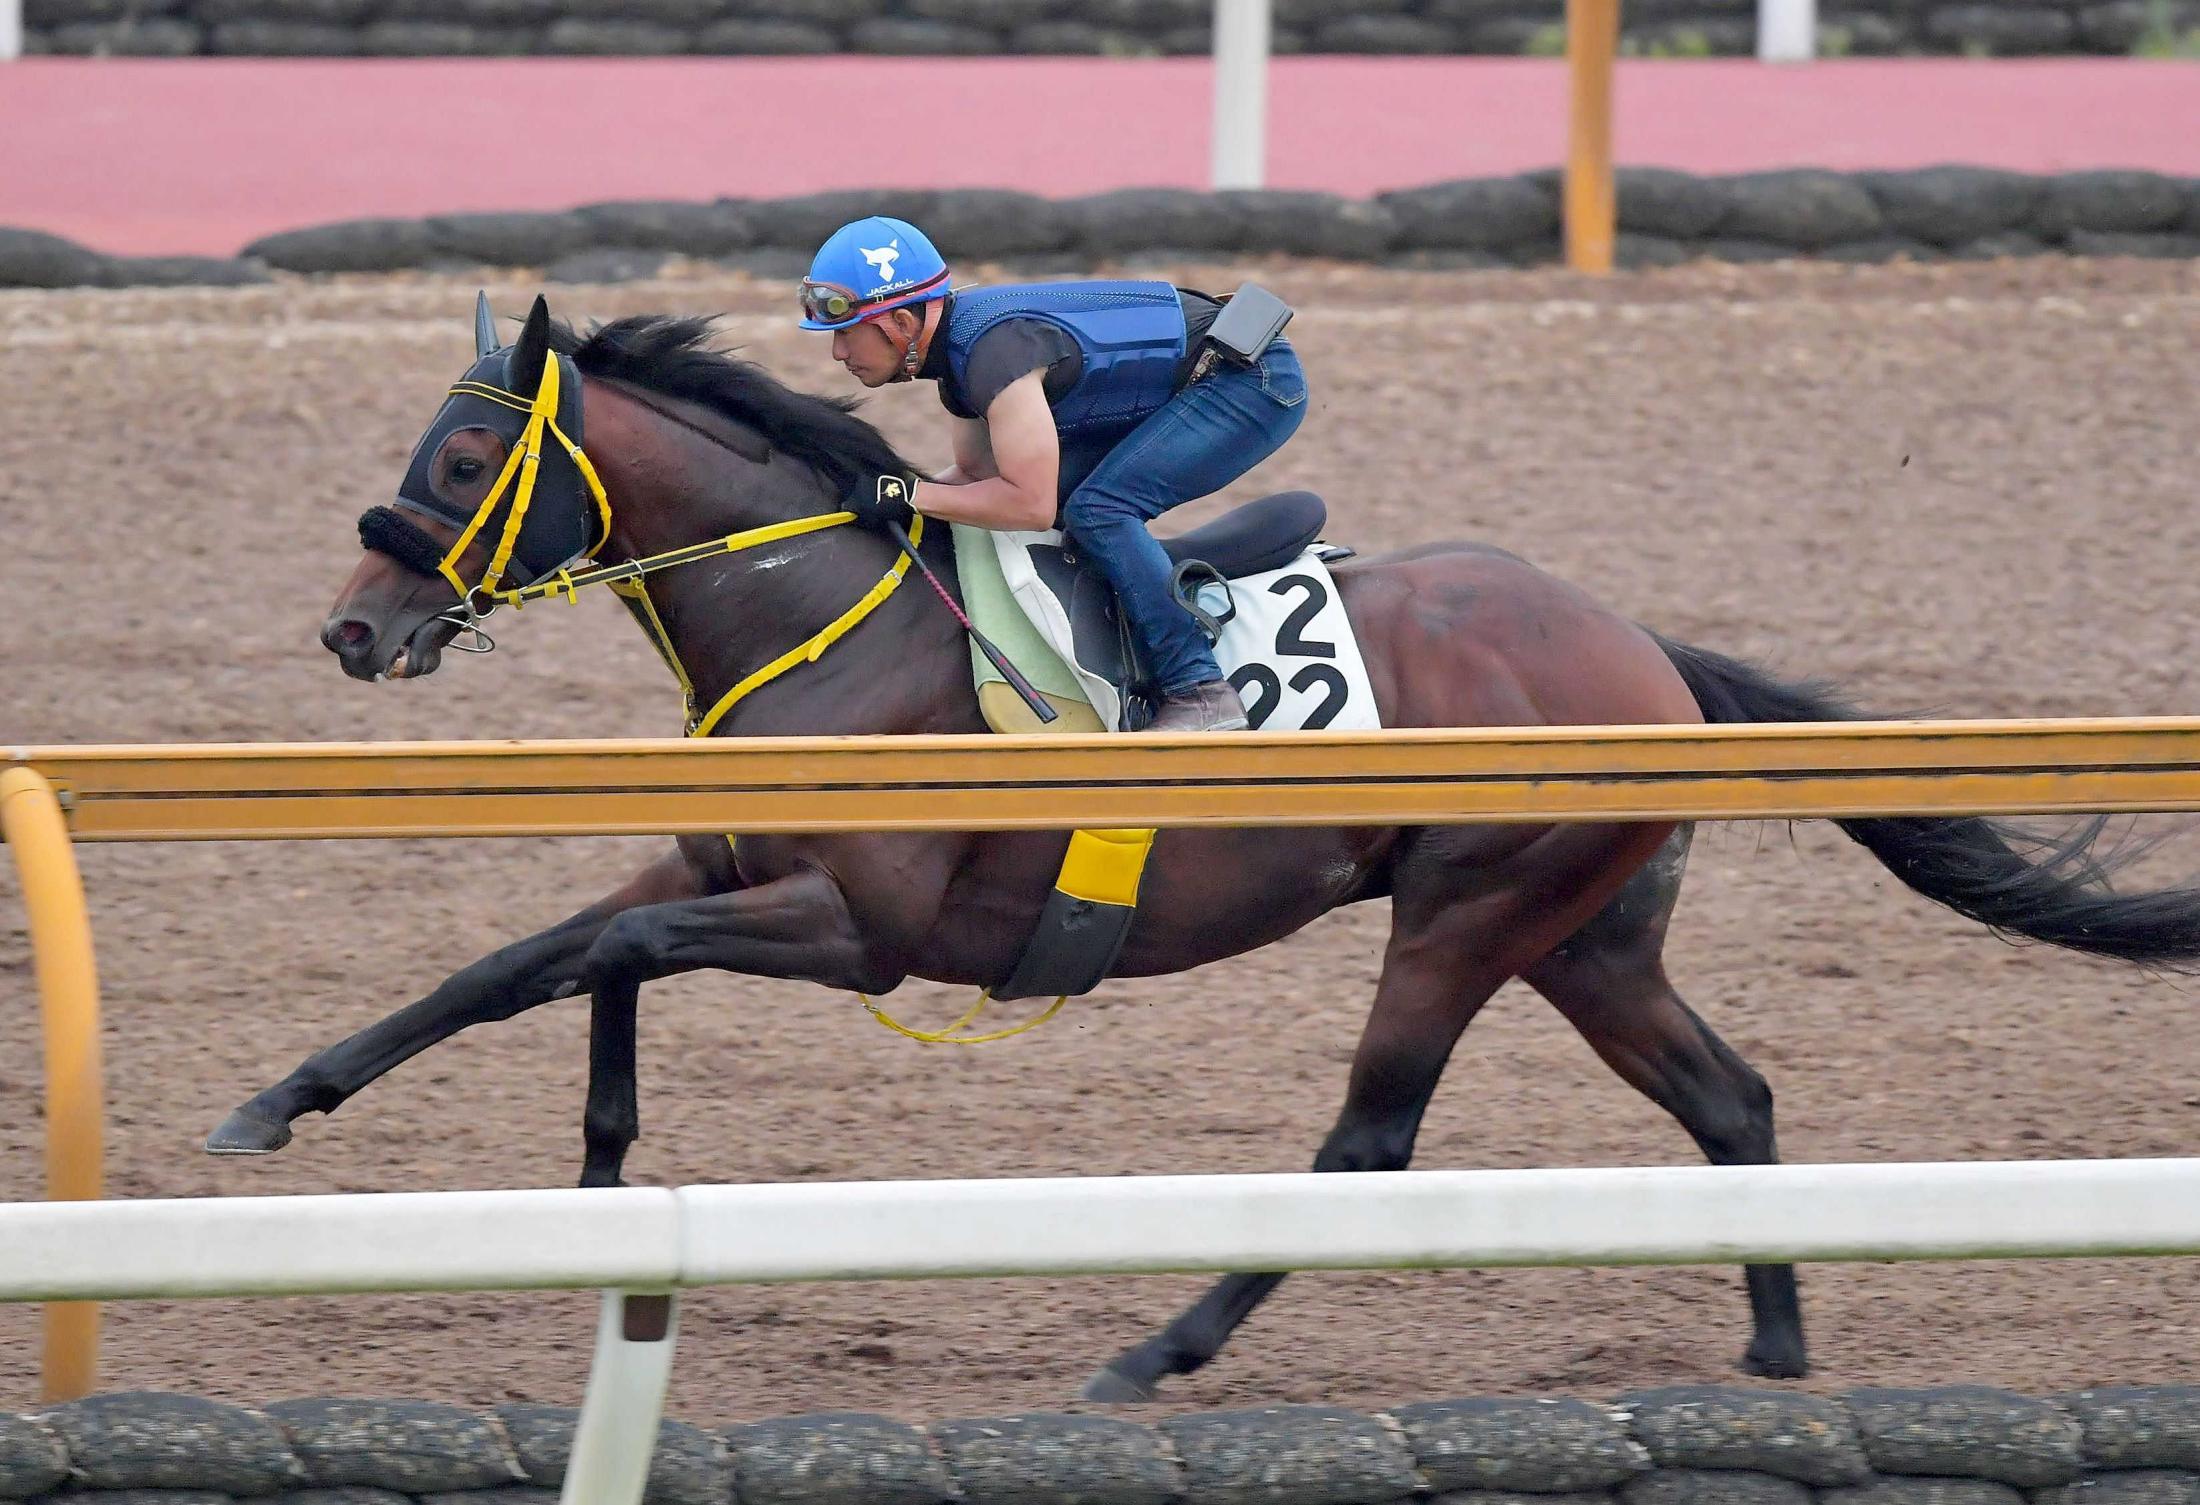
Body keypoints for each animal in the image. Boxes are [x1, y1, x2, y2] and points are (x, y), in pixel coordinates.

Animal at [214, 290, 2200, 1399]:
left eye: (460, 462)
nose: (352, 630)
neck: (828, 617)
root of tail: (1642, 646)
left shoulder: (864, 931)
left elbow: (604, 957)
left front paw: (606, 1166)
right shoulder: (720, 869)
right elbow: (524, 961)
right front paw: (301, 1110)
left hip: (1468, 917)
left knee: (1368, 1143)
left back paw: (1156, 1349)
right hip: (1587, 936)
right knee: (1735, 1101)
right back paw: (1779, 1351)